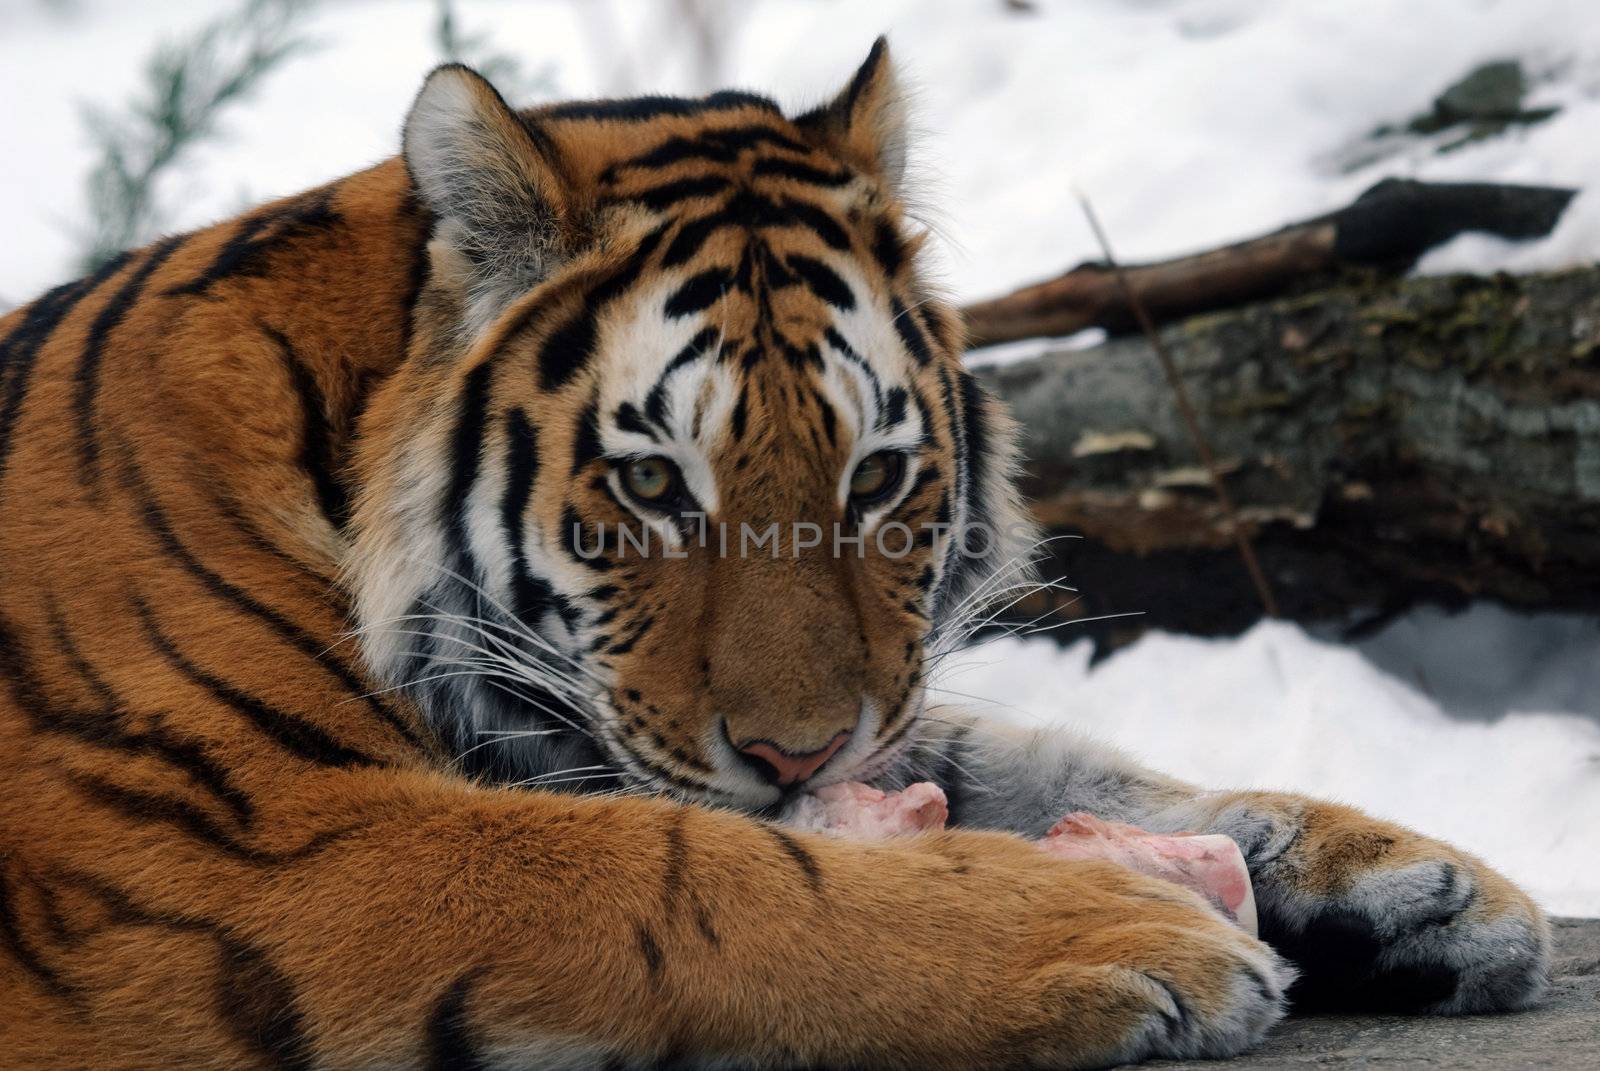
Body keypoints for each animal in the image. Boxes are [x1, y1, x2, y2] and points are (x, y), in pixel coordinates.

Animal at [0, 37, 1548, 1062]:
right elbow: (693, 873)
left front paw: (1410, 879)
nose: (797, 756)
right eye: (649, 482)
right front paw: (1122, 932)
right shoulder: (241, 841)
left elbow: (1046, 763)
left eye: (875, 477)